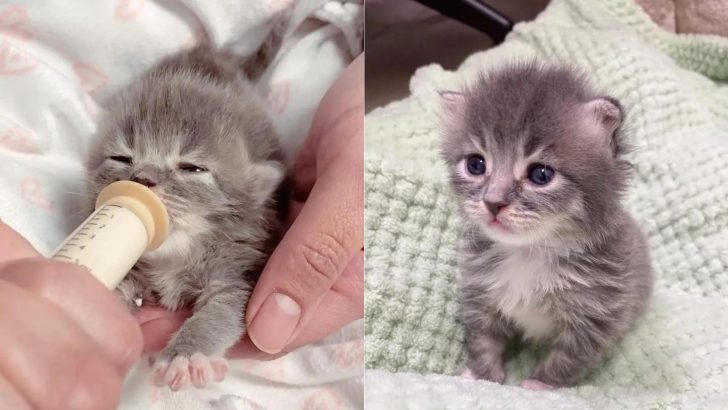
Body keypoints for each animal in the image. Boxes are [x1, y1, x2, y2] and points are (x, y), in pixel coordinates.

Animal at [86, 19, 290, 390]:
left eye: (191, 168)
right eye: (121, 158)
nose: (142, 178)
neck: (175, 255)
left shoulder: (238, 272)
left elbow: (220, 313)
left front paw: (187, 353)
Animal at [438, 62, 656, 390]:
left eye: (540, 174)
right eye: (476, 165)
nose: (493, 202)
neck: (528, 253)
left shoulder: (596, 315)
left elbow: (567, 358)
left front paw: (540, 385)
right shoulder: (481, 295)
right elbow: (483, 340)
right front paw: (482, 375)